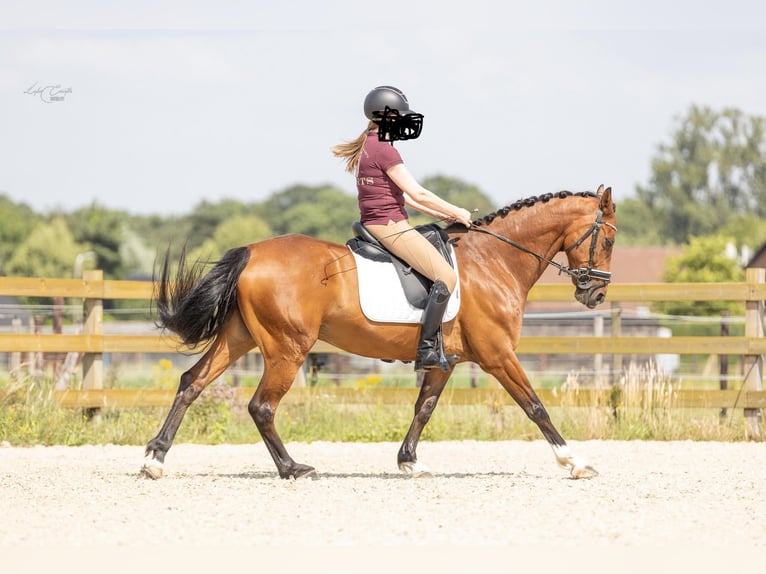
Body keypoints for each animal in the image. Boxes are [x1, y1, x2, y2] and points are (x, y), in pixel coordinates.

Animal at [142, 186, 616, 482]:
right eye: (609, 240)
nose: (595, 293)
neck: (493, 260)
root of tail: (252, 252)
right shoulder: (498, 356)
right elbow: (535, 406)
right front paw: (574, 461)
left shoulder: (446, 362)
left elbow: (423, 409)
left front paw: (409, 463)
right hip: (287, 349)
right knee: (261, 406)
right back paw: (293, 469)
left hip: (239, 338)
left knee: (192, 383)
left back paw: (155, 459)